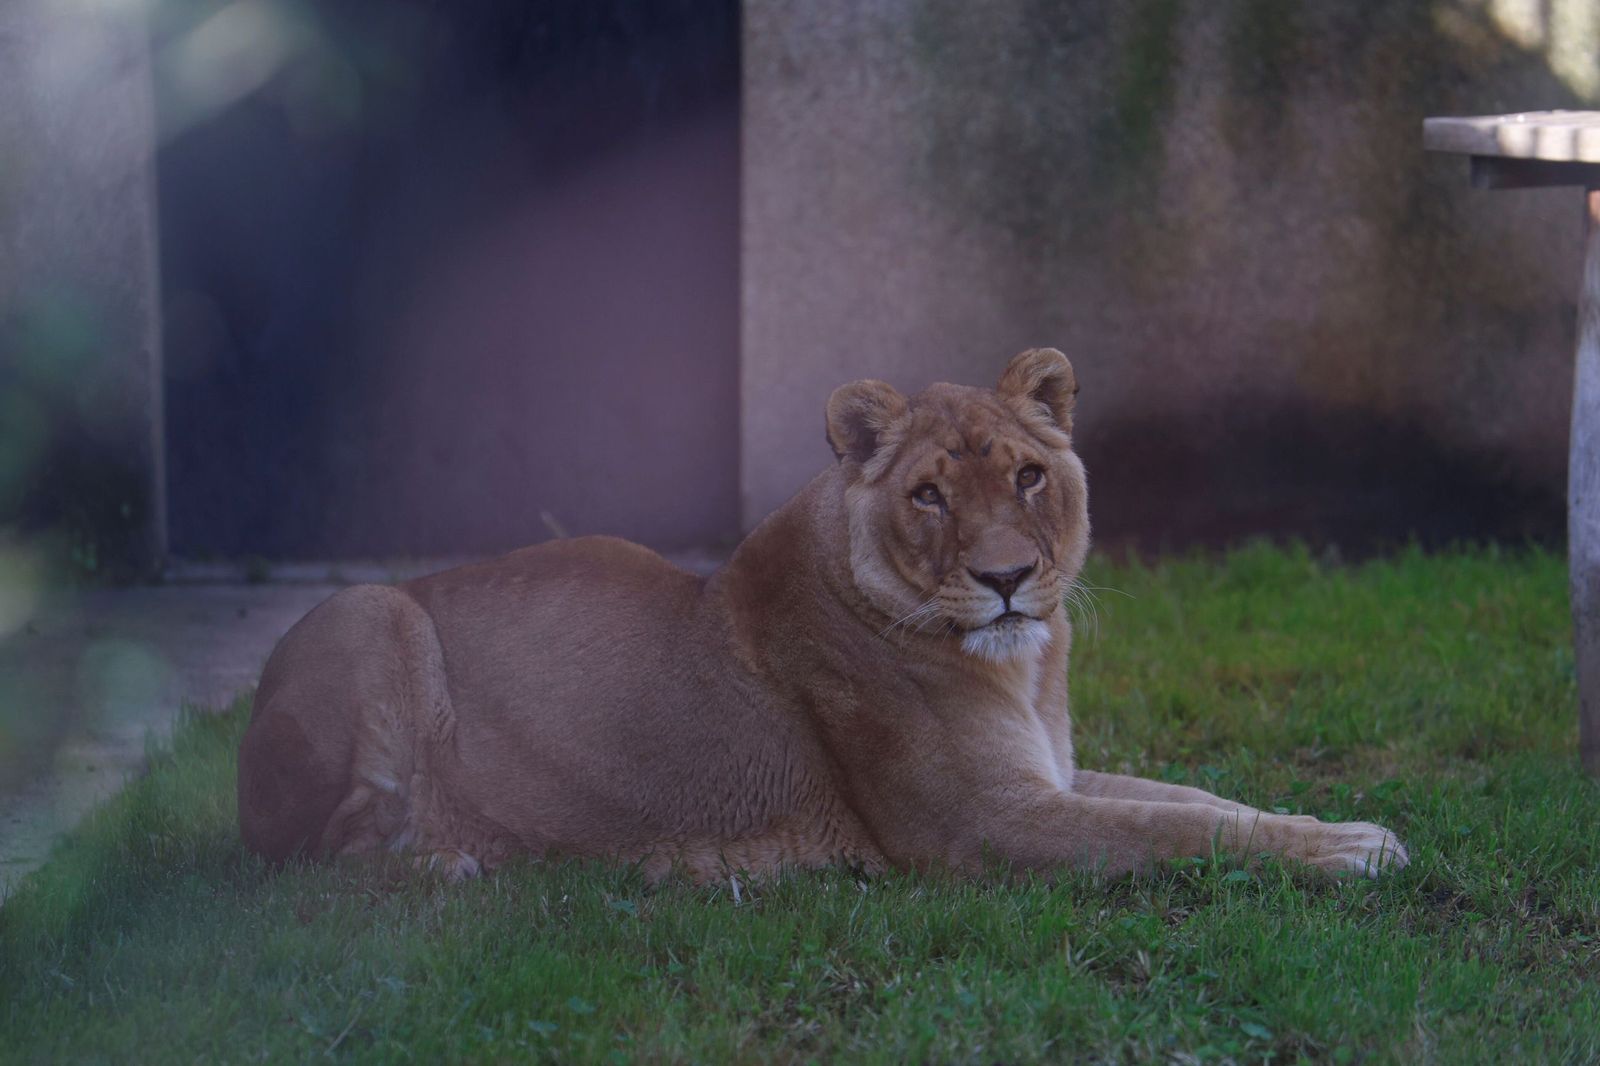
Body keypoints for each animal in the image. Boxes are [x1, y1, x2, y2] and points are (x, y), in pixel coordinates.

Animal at [237, 348, 1407, 882]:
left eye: (1029, 476)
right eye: (929, 494)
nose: (1005, 579)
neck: (1022, 663)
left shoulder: (1052, 774)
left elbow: (1198, 797)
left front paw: (1347, 827)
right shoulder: (983, 826)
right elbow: (1173, 830)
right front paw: (1349, 852)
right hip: (370, 611)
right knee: (311, 859)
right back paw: (456, 863)